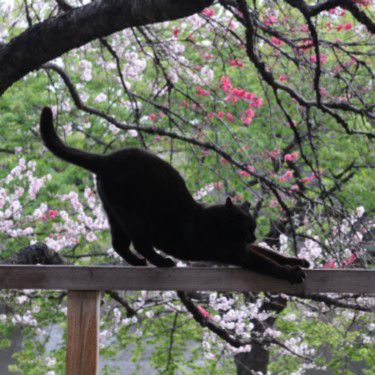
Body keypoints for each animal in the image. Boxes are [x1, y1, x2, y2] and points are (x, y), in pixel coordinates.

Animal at [39, 107, 310, 284]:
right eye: (248, 226)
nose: (253, 235)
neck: (218, 222)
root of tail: (106, 158)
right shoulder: (237, 252)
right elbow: (267, 263)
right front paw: (290, 273)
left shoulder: (244, 247)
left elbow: (273, 254)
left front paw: (296, 261)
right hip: (134, 215)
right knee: (140, 243)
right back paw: (161, 261)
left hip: (114, 213)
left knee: (119, 244)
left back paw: (139, 263)